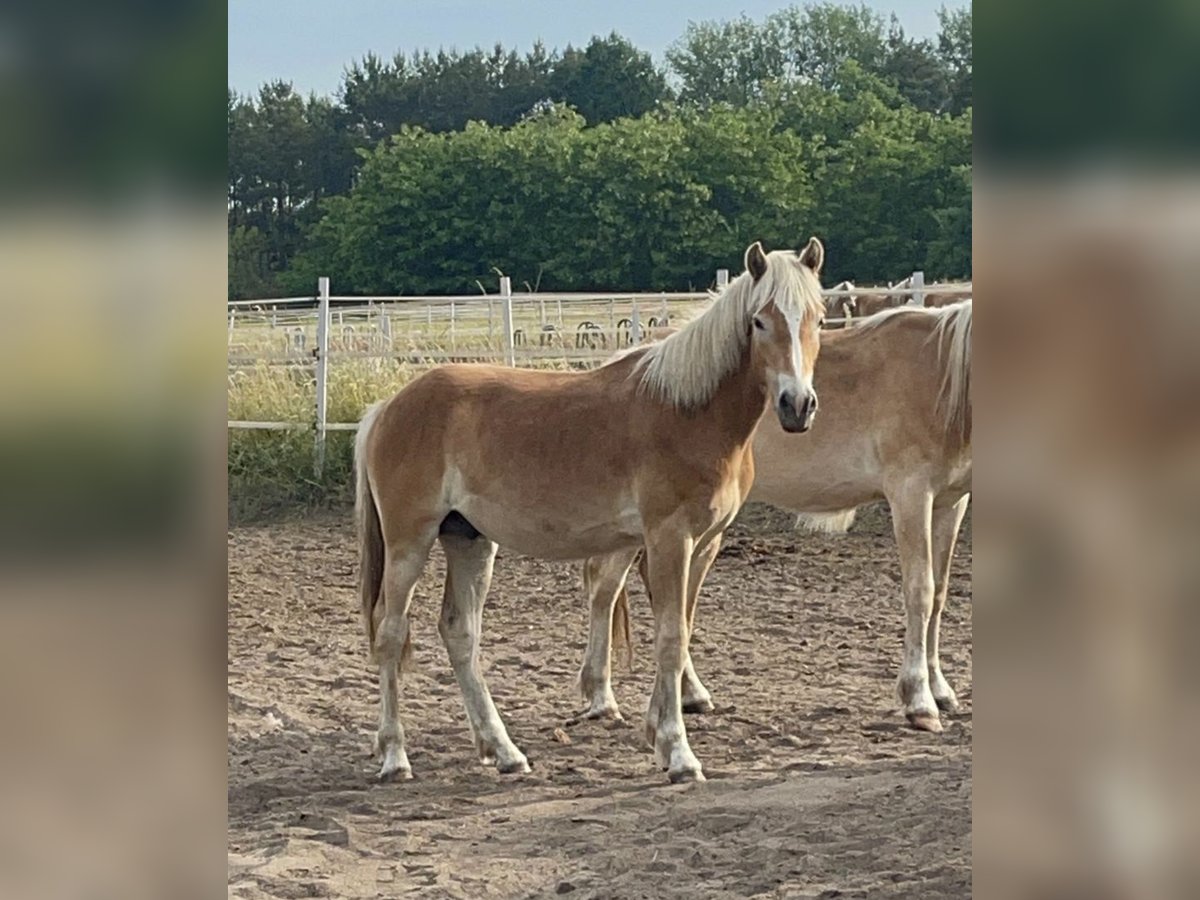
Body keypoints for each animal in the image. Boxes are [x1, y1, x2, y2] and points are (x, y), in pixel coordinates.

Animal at [350, 237, 830, 782]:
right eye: (759, 321)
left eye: (819, 318)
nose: (798, 405)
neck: (689, 412)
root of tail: (387, 407)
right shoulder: (670, 539)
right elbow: (669, 639)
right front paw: (679, 754)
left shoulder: (704, 544)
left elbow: (681, 632)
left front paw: (660, 731)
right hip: (409, 542)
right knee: (391, 633)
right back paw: (395, 756)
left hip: (468, 539)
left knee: (460, 633)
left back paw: (504, 750)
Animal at [576, 300, 969, 734]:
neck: (939, 375)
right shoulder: (910, 495)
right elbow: (920, 591)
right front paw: (919, 699)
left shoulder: (950, 503)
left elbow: (940, 593)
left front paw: (940, 690)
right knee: (605, 586)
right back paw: (602, 698)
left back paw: (690, 693)